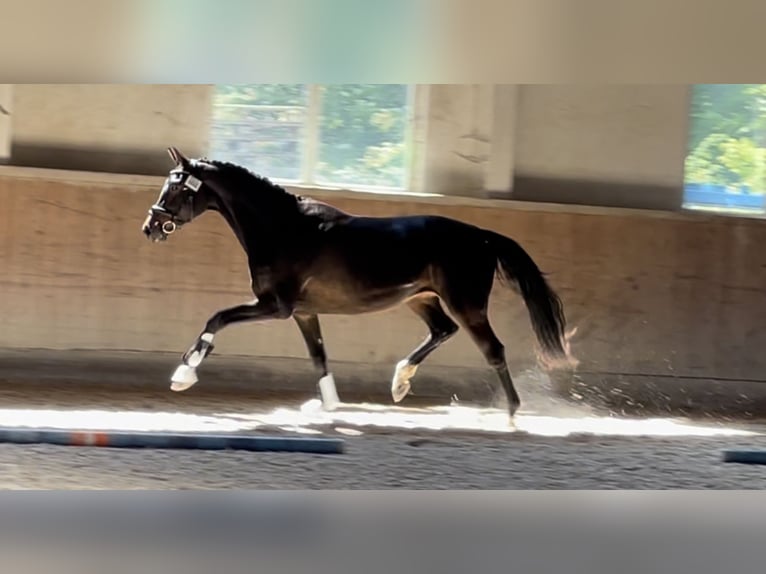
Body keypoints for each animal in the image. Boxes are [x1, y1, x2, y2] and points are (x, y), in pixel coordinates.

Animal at [142, 146, 576, 420]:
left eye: (177, 185)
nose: (150, 227)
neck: (283, 229)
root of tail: (482, 236)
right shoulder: (303, 312)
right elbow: (319, 357)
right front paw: (330, 406)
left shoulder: (275, 306)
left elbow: (216, 318)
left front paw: (183, 376)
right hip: (421, 299)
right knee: (442, 330)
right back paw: (400, 383)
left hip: (466, 303)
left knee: (493, 350)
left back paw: (512, 415)